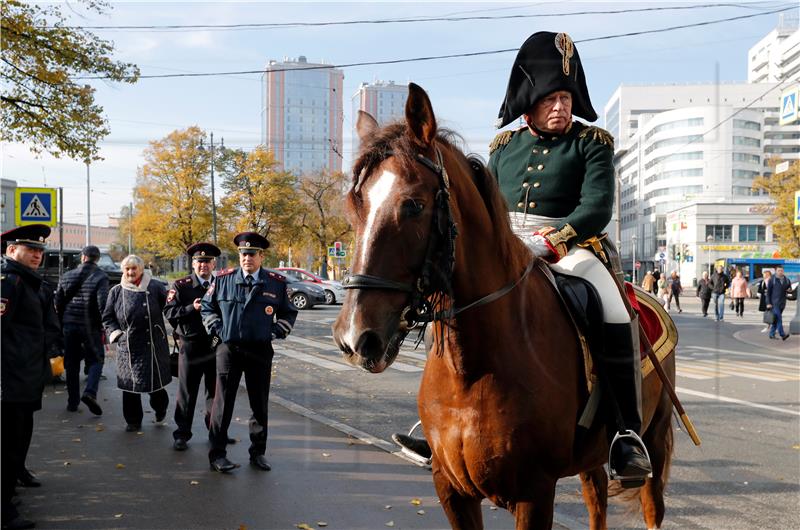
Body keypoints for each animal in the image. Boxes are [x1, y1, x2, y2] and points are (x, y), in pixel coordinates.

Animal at [332, 84, 676, 528]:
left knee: (651, 504)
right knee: (595, 498)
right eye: (354, 205)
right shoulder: (451, 490)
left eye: (413, 205)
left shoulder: (535, 494)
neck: (473, 371)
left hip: (654, 438)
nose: (355, 338)